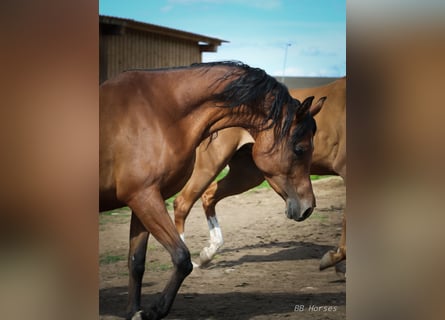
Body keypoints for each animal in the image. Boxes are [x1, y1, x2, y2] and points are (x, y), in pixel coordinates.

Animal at [99, 61, 322, 318]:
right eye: (300, 149)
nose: (308, 207)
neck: (158, 114)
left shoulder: (141, 199)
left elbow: (136, 262)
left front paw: (135, 311)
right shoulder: (144, 197)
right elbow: (181, 258)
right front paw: (154, 310)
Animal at [172, 76, 346, 272]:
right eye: (300, 149)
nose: (307, 209)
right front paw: (334, 258)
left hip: (247, 175)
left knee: (208, 196)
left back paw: (207, 254)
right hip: (211, 166)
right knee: (183, 203)